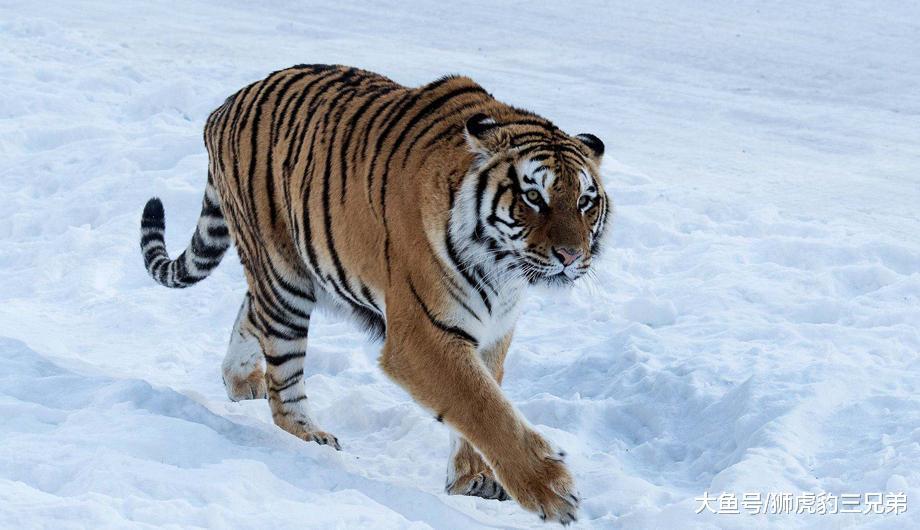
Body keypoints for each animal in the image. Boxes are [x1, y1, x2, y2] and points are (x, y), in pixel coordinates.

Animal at [139, 64, 610, 525]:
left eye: (585, 202)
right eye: (533, 197)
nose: (571, 256)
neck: (503, 269)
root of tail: (226, 105)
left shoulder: (494, 329)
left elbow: (486, 393)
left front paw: (471, 478)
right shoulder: (423, 336)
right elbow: (484, 407)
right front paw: (551, 490)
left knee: (250, 311)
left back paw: (240, 383)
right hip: (284, 276)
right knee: (282, 377)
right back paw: (309, 434)